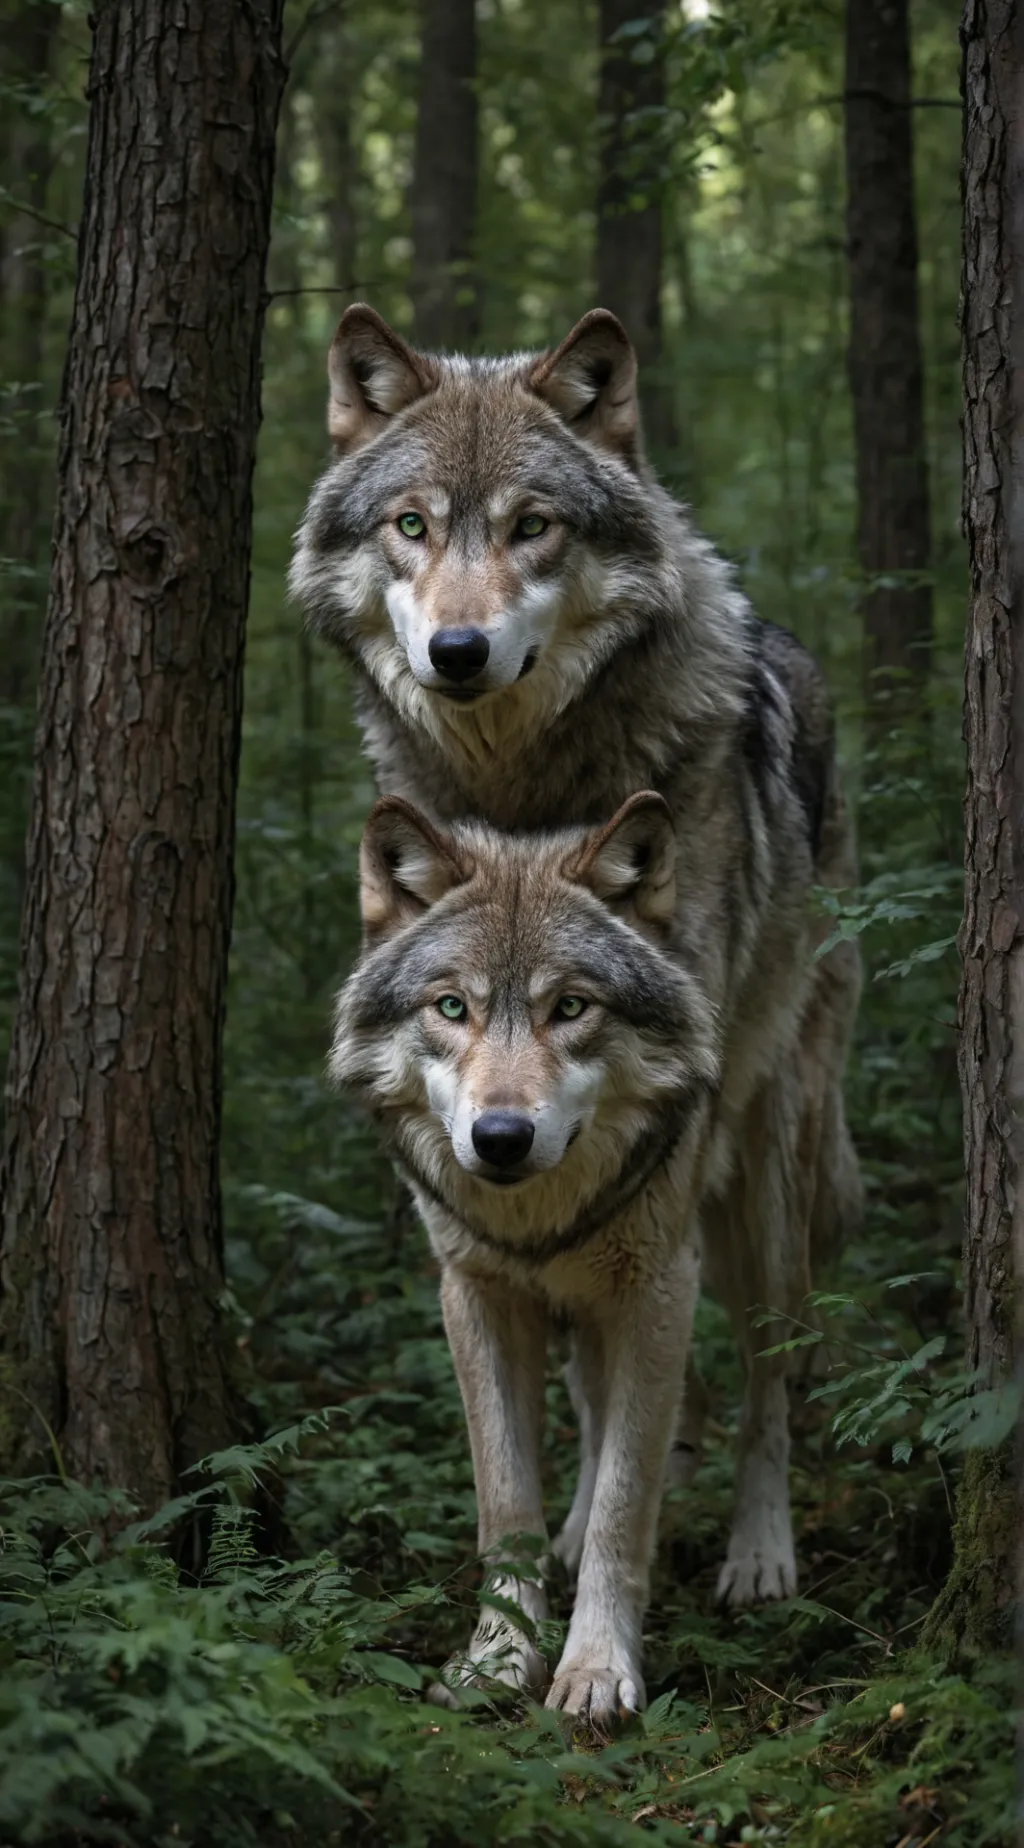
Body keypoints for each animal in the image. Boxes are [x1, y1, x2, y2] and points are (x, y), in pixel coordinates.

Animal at [332, 790, 720, 1727]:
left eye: (571, 1008)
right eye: (451, 1008)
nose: (500, 1137)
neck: (540, 1216)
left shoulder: (662, 1290)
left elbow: (627, 1500)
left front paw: (595, 1669)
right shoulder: (476, 1294)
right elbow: (507, 1502)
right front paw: (499, 1657)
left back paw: (762, 1564)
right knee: (595, 1404)